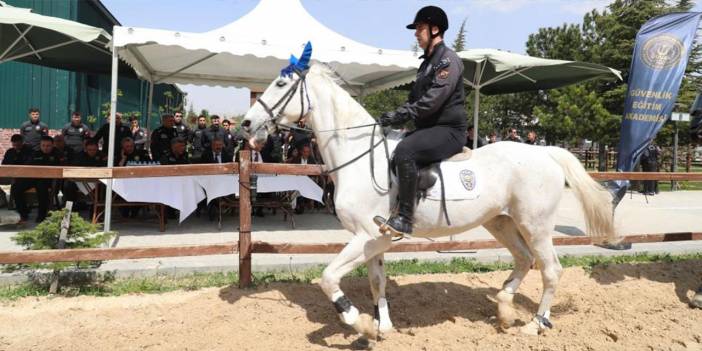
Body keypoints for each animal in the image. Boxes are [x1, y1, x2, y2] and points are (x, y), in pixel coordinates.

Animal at [245, 64, 620, 340]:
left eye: (280, 83)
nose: (246, 124)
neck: (359, 156)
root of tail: (546, 153)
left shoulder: (366, 235)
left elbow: (328, 278)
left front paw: (358, 321)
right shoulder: (376, 241)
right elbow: (376, 282)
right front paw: (381, 327)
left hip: (536, 225)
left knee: (551, 269)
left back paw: (535, 325)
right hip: (500, 222)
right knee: (524, 260)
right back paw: (504, 308)